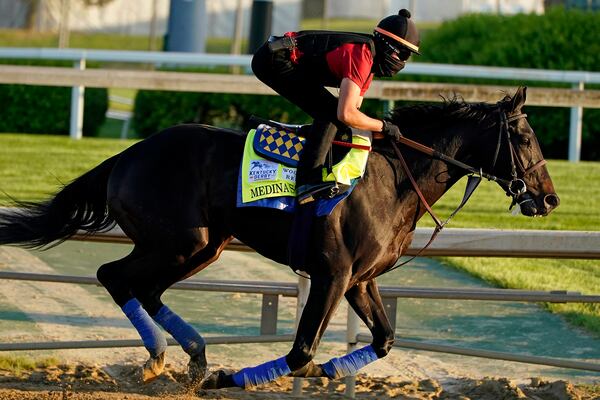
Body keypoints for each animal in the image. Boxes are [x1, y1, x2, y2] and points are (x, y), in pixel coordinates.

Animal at [0, 86, 560, 388]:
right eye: (526, 137)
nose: (550, 199)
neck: (393, 177)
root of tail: (127, 154)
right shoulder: (333, 275)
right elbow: (300, 352)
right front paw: (236, 378)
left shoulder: (361, 280)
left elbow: (383, 340)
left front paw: (333, 371)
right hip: (176, 241)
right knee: (113, 276)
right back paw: (164, 357)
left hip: (203, 246)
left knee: (146, 288)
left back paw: (193, 356)